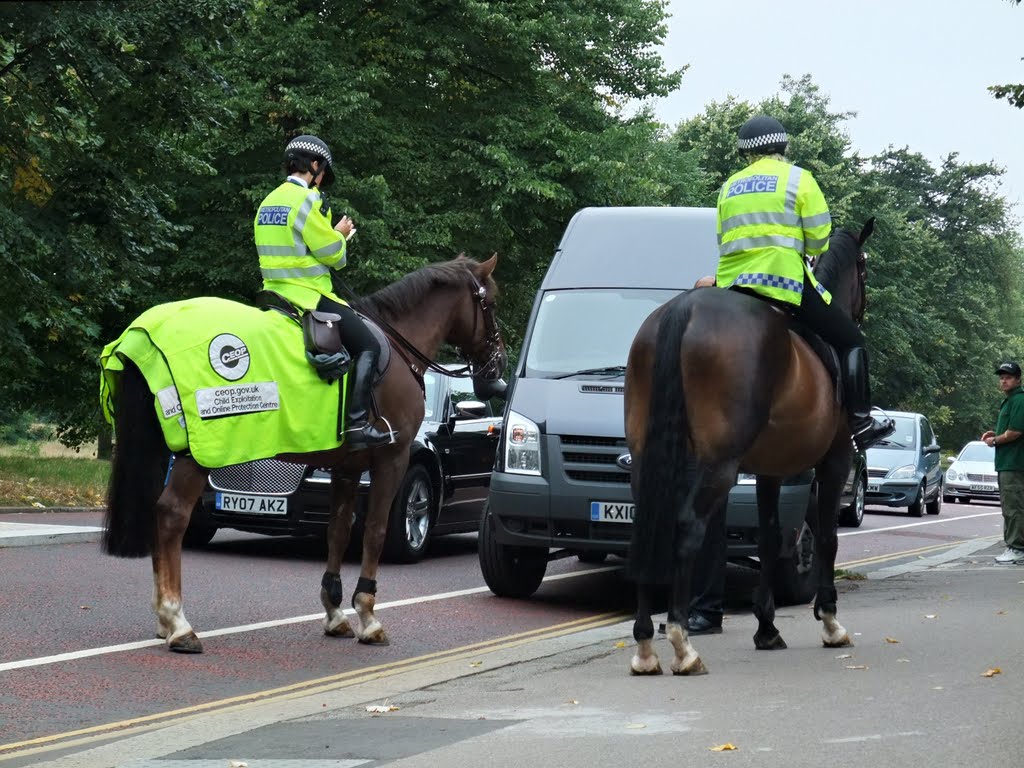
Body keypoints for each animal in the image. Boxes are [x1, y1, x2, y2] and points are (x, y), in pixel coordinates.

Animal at [101, 256, 505, 651]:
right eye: (491, 302)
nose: (497, 369)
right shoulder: (393, 458)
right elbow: (375, 530)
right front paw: (368, 615)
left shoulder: (347, 467)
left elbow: (338, 531)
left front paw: (335, 612)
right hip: (198, 455)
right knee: (172, 515)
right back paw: (178, 622)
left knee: (158, 512)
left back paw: (163, 620)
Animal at [622, 221, 872, 671]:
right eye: (863, 268)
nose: (864, 307)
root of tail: (684, 309)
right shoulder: (836, 458)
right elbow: (827, 537)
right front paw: (830, 621)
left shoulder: (771, 469)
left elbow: (770, 538)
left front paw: (767, 628)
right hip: (719, 463)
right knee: (687, 526)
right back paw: (682, 643)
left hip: (647, 456)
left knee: (649, 525)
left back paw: (646, 645)